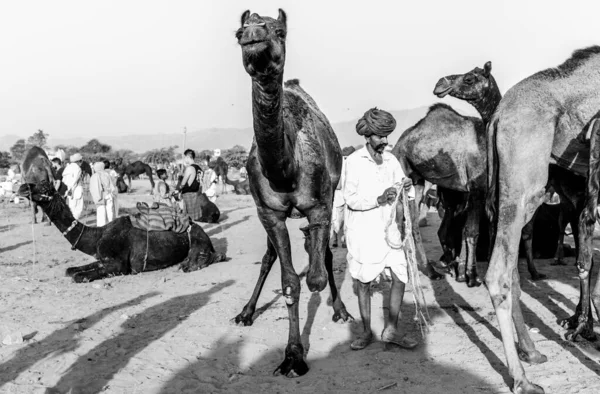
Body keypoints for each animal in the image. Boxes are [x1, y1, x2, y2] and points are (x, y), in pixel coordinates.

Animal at [19, 180, 225, 282]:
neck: (97, 237)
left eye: (45, 186)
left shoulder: (118, 265)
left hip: (198, 242)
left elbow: (79, 277)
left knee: (205, 258)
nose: (22, 187)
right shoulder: (102, 259)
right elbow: (70, 270)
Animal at [486, 46, 600, 394]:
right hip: (526, 181)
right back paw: (521, 379)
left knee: (512, 268)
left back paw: (532, 352)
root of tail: (498, 116)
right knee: (498, 273)